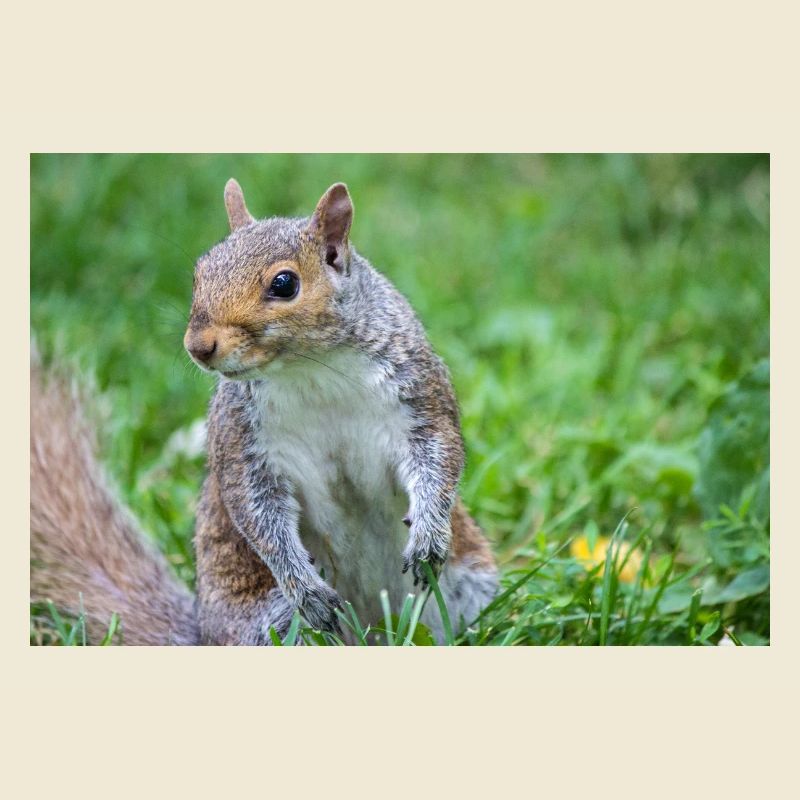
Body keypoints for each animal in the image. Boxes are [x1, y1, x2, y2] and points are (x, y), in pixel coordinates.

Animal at [30, 181, 498, 645]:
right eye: (200, 273)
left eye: (285, 284)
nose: (198, 346)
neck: (311, 368)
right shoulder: (242, 443)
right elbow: (258, 514)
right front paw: (306, 589)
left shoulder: (419, 395)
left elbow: (438, 458)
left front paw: (428, 538)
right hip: (271, 623)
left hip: (470, 582)